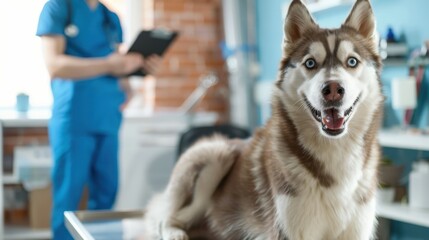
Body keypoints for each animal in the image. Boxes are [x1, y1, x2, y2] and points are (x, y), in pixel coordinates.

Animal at [142, 0, 382, 239]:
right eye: (310, 63)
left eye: (352, 61)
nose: (332, 90)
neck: (336, 151)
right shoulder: (288, 230)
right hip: (216, 154)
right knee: (167, 218)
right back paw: (174, 232)